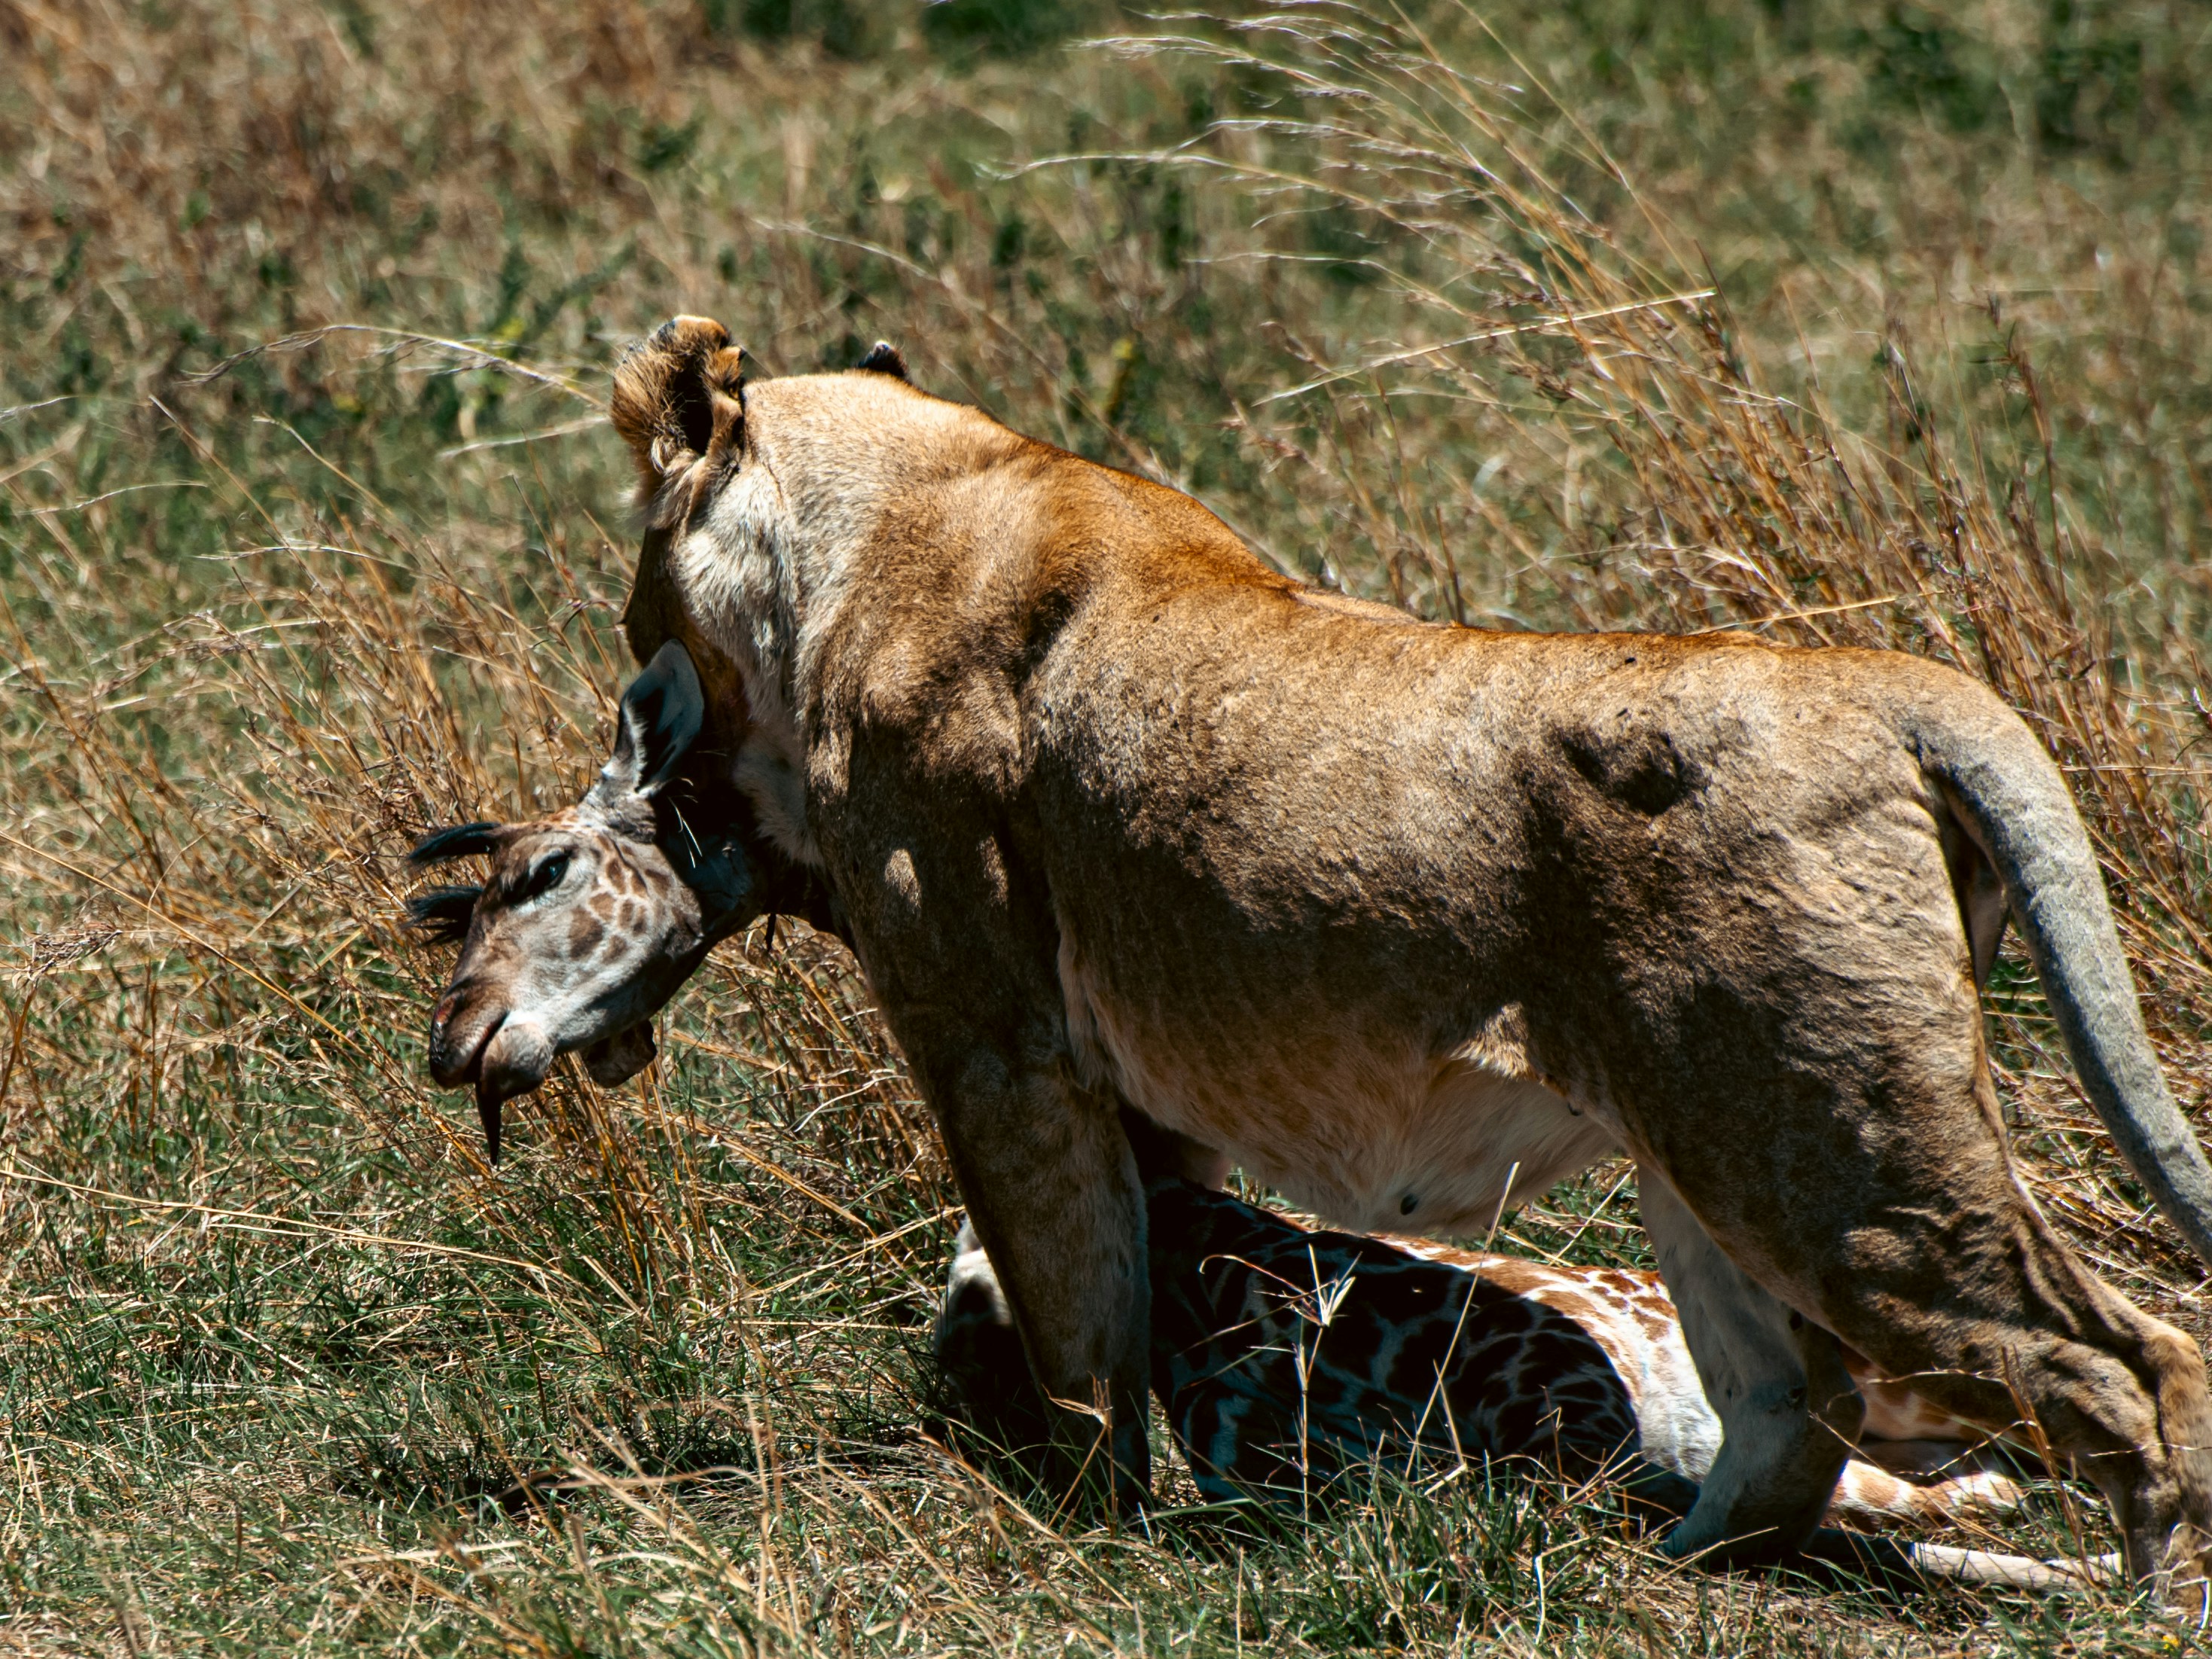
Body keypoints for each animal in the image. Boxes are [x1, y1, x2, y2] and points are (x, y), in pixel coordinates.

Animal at [413, 316, 2212, 1592]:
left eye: (632, 608)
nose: (630, 724)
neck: (895, 512)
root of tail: (1900, 687)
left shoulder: (997, 1034)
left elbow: (1070, 1302)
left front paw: (1087, 1517)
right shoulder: (1144, 1085)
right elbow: (1129, 1263)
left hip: (1824, 1139)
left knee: (2127, 1358)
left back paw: (2133, 1595)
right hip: (1704, 1159)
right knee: (1789, 1419)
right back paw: (1632, 1557)